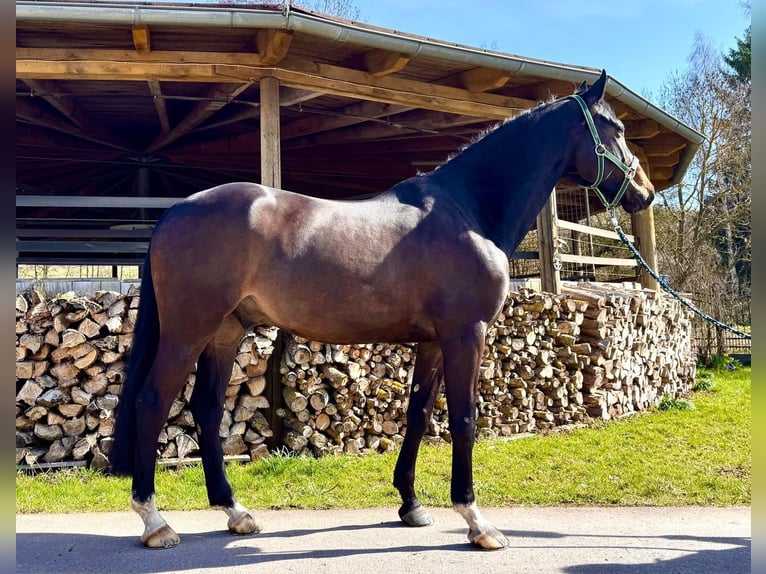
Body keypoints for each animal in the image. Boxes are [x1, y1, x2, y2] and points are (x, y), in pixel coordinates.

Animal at [110, 70, 655, 550]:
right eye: (617, 129)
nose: (645, 194)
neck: (468, 211)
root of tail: (174, 212)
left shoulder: (433, 341)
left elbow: (417, 414)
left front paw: (411, 505)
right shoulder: (467, 334)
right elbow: (464, 420)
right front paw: (477, 523)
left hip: (225, 331)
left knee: (205, 407)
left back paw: (235, 511)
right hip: (188, 329)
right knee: (152, 403)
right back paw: (155, 522)